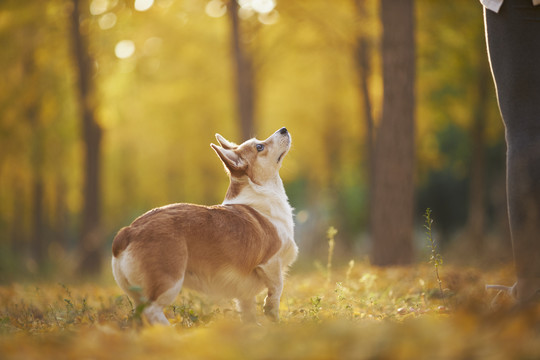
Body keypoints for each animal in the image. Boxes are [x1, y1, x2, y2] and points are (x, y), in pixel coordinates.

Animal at [109, 128, 296, 324]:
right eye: (259, 147)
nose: (284, 129)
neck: (260, 191)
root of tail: (128, 231)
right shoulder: (271, 263)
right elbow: (276, 292)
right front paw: (273, 319)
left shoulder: (245, 290)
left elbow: (248, 311)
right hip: (169, 281)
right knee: (152, 310)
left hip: (139, 295)